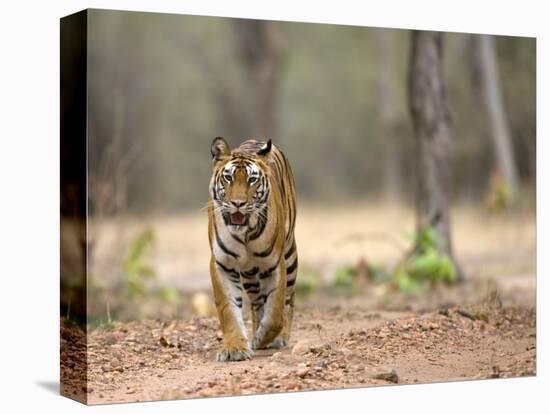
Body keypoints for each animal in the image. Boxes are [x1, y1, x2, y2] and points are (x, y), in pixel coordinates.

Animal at [209, 137, 300, 360]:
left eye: (252, 180)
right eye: (228, 178)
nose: (238, 203)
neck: (245, 234)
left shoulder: (275, 264)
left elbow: (275, 311)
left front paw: (264, 338)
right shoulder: (222, 264)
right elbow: (228, 309)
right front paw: (234, 348)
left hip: (290, 255)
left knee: (288, 299)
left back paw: (278, 337)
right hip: (249, 274)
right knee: (257, 303)